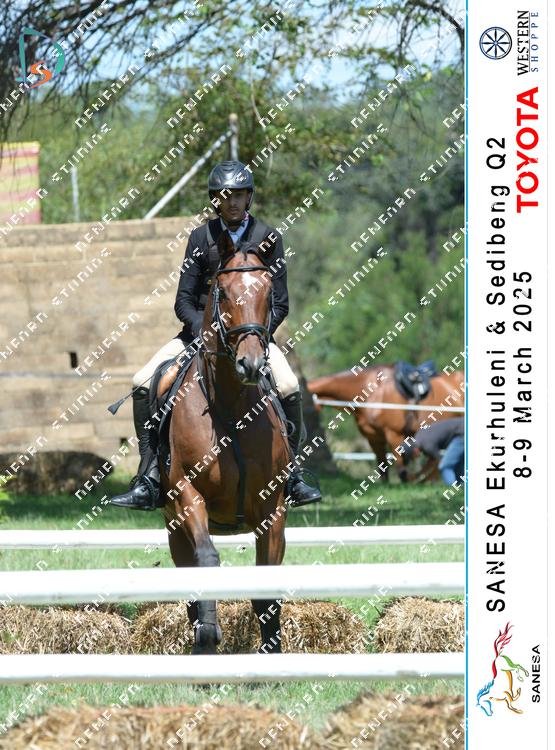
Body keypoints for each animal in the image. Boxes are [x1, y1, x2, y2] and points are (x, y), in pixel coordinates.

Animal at [159, 230, 291, 656]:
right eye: (224, 292)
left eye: (268, 291)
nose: (251, 365)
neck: (232, 407)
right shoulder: (187, 493)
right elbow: (207, 559)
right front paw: (208, 633)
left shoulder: (272, 508)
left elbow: (266, 589)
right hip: (172, 524)